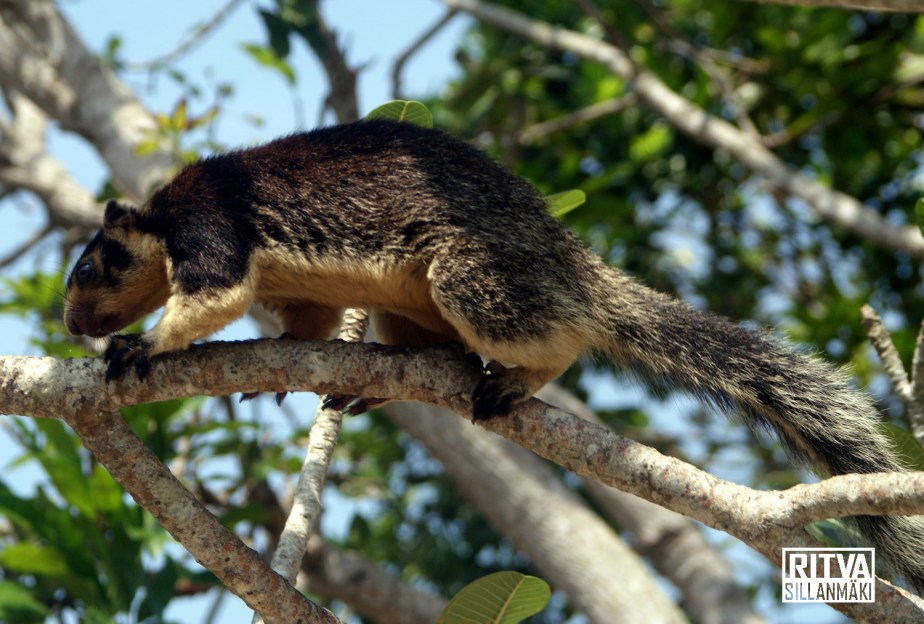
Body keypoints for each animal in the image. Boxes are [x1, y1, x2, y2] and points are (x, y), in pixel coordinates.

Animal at [64, 118, 924, 594]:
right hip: (408, 309)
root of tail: (569, 259)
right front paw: (278, 362)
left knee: (561, 330)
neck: (161, 216)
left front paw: (141, 344)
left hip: (476, 276)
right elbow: (306, 320)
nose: (71, 325)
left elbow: (214, 295)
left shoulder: (213, 224)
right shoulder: (292, 289)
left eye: (91, 266)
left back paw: (523, 374)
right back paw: (376, 389)